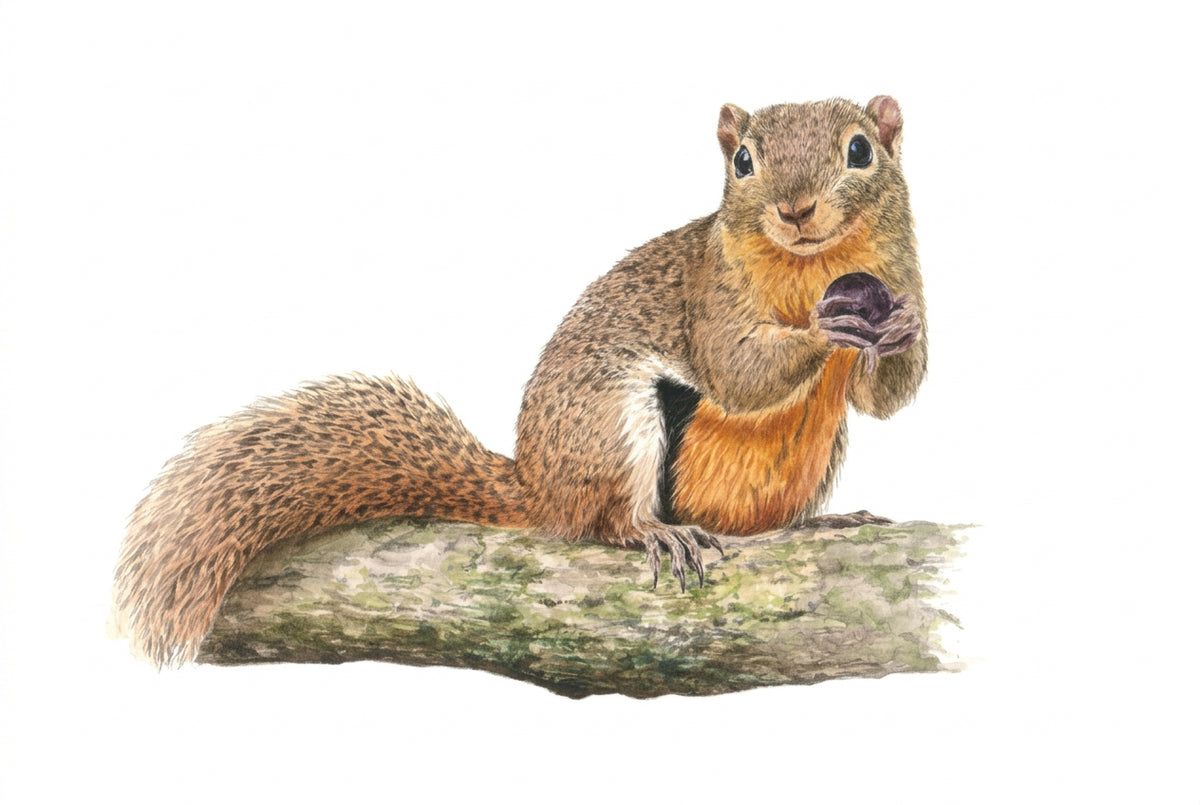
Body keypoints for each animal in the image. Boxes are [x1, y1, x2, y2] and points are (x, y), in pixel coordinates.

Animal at [111, 95, 927, 667]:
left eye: (860, 150)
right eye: (744, 162)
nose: (795, 210)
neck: (812, 266)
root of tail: (539, 485)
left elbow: (885, 396)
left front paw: (901, 332)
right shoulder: (709, 292)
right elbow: (739, 370)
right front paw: (826, 328)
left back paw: (819, 523)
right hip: (614, 422)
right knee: (606, 521)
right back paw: (655, 530)